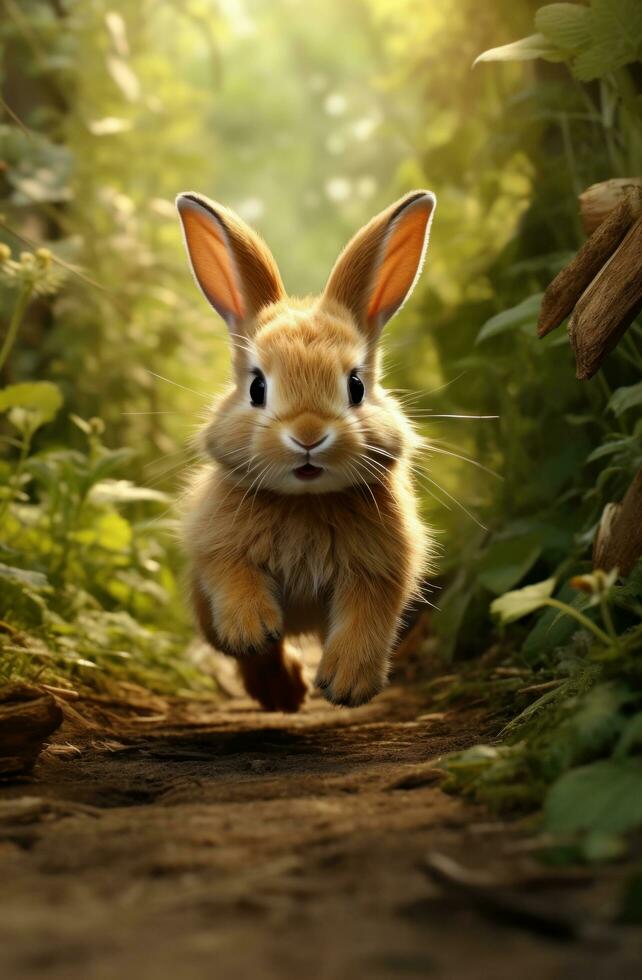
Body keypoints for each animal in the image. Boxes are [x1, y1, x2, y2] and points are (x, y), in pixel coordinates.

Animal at [175, 189, 436, 712]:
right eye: (257, 388)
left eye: (356, 386)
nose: (309, 435)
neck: (306, 501)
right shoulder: (218, 549)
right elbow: (236, 586)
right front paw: (254, 629)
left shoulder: (379, 571)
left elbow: (365, 622)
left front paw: (347, 686)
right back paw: (283, 692)